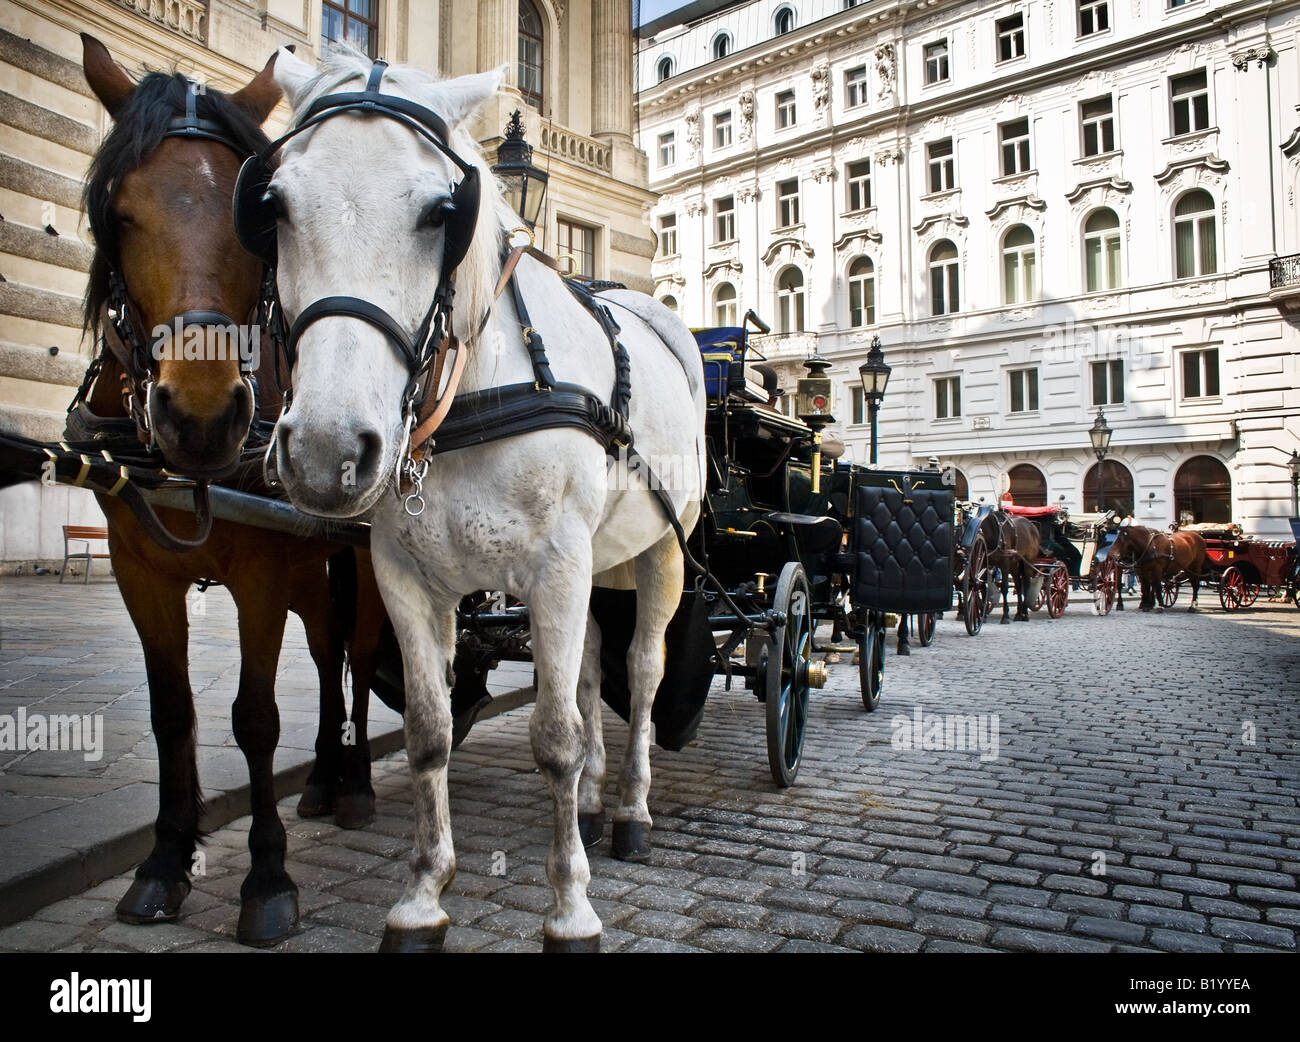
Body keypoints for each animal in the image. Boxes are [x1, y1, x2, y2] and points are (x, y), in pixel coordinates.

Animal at [76, 34, 387, 940]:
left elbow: (254, 717)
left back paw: (355, 781)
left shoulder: (259, 573)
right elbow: (172, 713)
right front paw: (164, 860)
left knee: (356, 656)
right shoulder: (137, 571)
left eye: (258, 222)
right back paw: (321, 779)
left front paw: (267, 877)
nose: (204, 416)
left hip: (354, 562)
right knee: (327, 655)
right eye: (119, 213)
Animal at [263, 46, 707, 951]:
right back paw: (598, 796)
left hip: (660, 553)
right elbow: (430, 733)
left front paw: (570, 906)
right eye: (276, 205)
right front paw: (423, 893)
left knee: (641, 673)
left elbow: (553, 737)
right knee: (591, 671)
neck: (475, 391)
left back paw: (632, 810)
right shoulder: (405, 577)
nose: (327, 449)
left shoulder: (556, 567)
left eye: (443, 211)